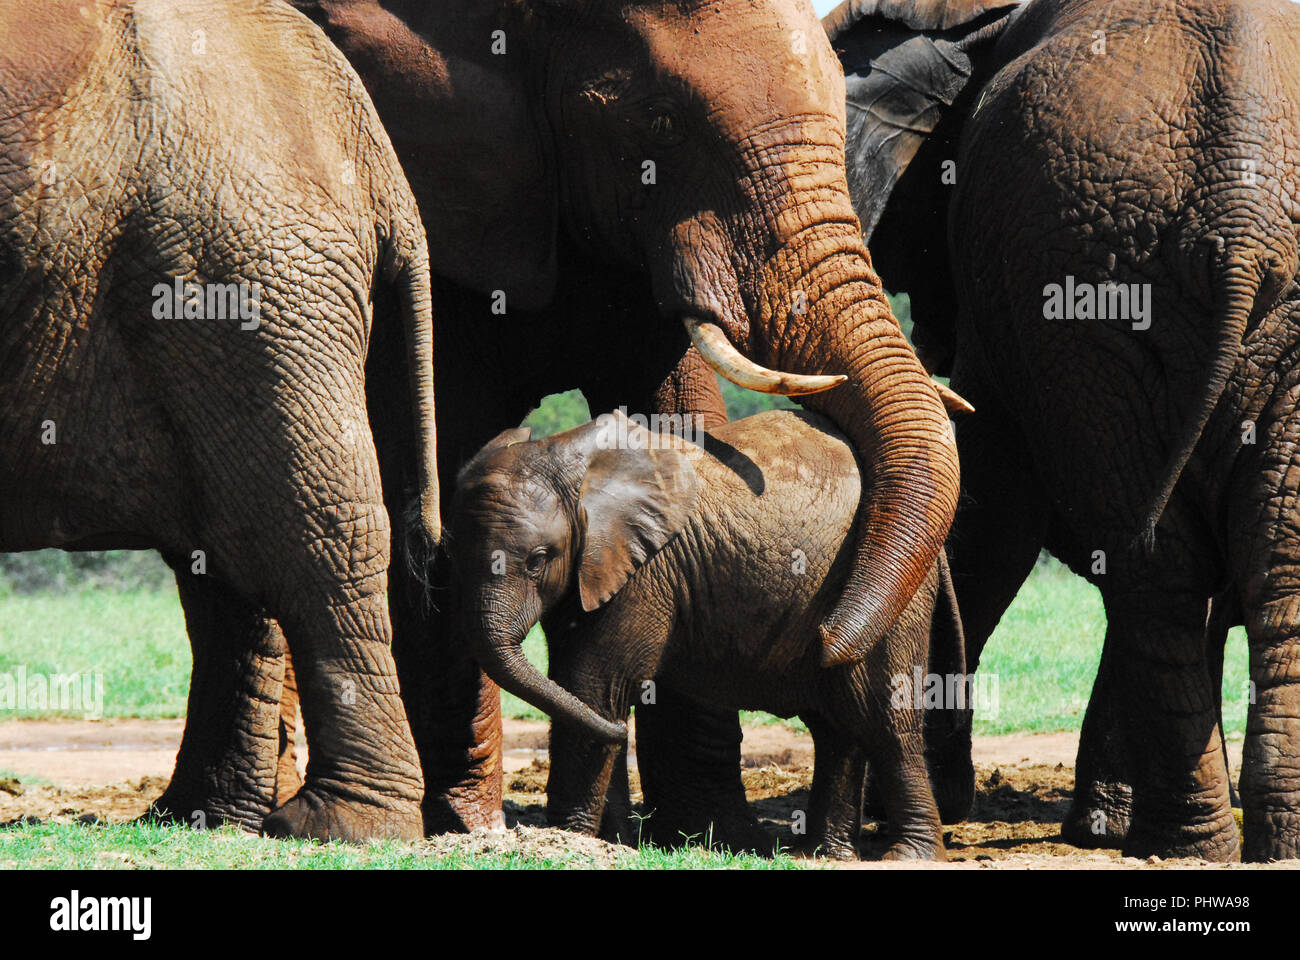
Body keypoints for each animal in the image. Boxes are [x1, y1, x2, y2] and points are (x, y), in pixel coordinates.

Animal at [447, 408, 946, 858]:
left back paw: (910, 855)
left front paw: (573, 841)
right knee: (836, 727)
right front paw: (611, 841)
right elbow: (580, 694)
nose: (624, 733)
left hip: (895, 594)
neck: (569, 461)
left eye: (538, 559)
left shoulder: (644, 572)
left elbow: (593, 687)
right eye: (451, 555)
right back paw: (822, 854)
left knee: (884, 717)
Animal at [832, 0, 1300, 858]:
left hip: (1083, 271)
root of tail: (1242, 213)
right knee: (1213, 560)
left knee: (1173, 565)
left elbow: (991, 505)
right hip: (1095, 281)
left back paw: (1187, 841)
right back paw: (1224, 842)